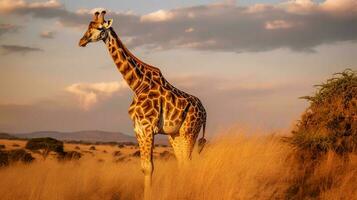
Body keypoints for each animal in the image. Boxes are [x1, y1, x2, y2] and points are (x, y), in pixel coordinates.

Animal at [78, 10, 206, 198]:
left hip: (190, 130)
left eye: (100, 28)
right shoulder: (138, 128)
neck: (137, 85)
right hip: (175, 134)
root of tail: (205, 112)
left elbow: (149, 167)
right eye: (88, 26)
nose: (81, 41)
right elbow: (144, 167)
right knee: (182, 162)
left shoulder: (148, 127)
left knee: (187, 161)